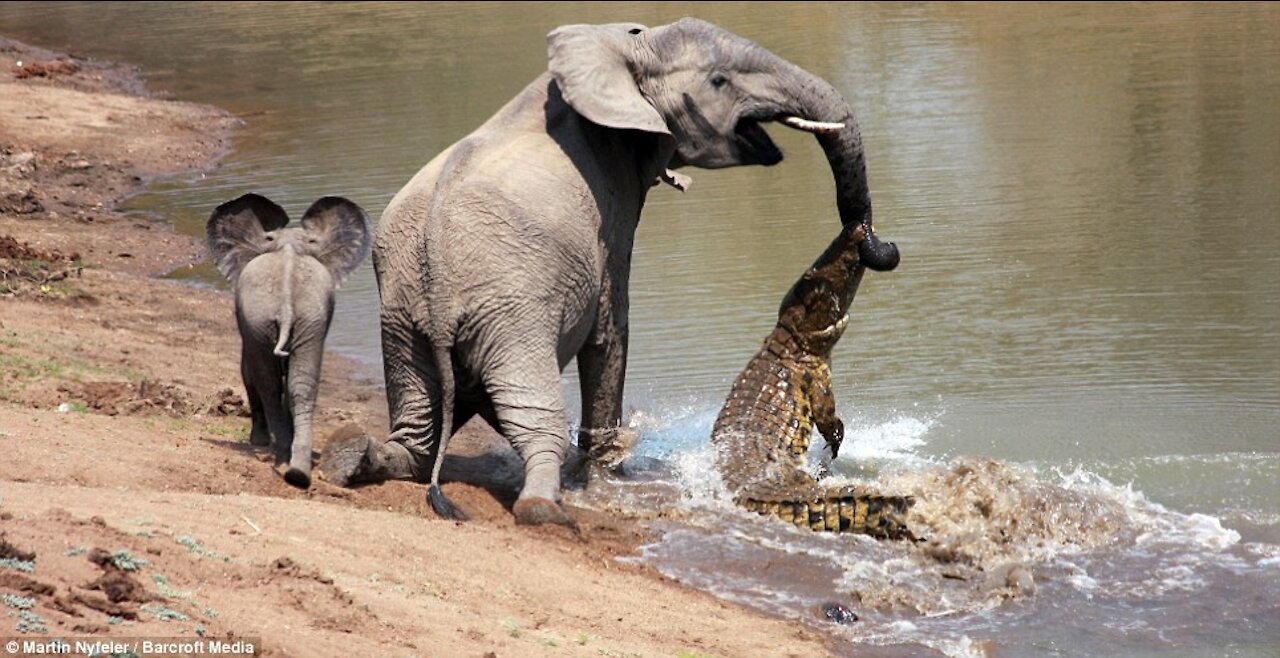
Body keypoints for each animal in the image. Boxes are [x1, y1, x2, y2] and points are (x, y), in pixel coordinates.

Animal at [204, 192, 373, 483]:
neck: (289, 244)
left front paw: (259, 442)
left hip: (262, 317)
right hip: (309, 318)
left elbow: (247, 369)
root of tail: (286, 298)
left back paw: (282, 458)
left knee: (269, 384)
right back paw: (297, 471)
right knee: (301, 384)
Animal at [320, 17, 901, 524]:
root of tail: (438, 289)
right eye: (719, 80)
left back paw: (349, 457)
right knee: (536, 424)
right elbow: (612, 325)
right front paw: (606, 473)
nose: (880, 245)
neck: (620, 47)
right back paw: (544, 508)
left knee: (417, 432)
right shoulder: (610, 205)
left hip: (402, 322)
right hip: (510, 319)